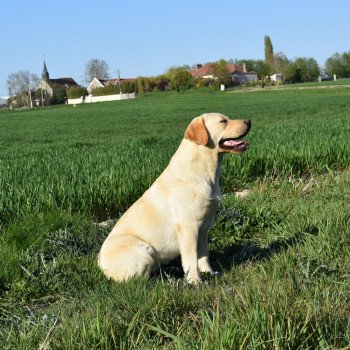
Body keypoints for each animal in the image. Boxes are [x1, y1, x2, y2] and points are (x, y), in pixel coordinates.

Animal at [98, 113, 252, 284]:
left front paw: (209, 273)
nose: (249, 121)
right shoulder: (188, 227)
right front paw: (195, 281)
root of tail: (100, 266)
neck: (203, 171)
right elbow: (191, 258)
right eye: (223, 121)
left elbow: (204, 255)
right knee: (140, 279)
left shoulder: (203, 228)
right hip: (145, 250)